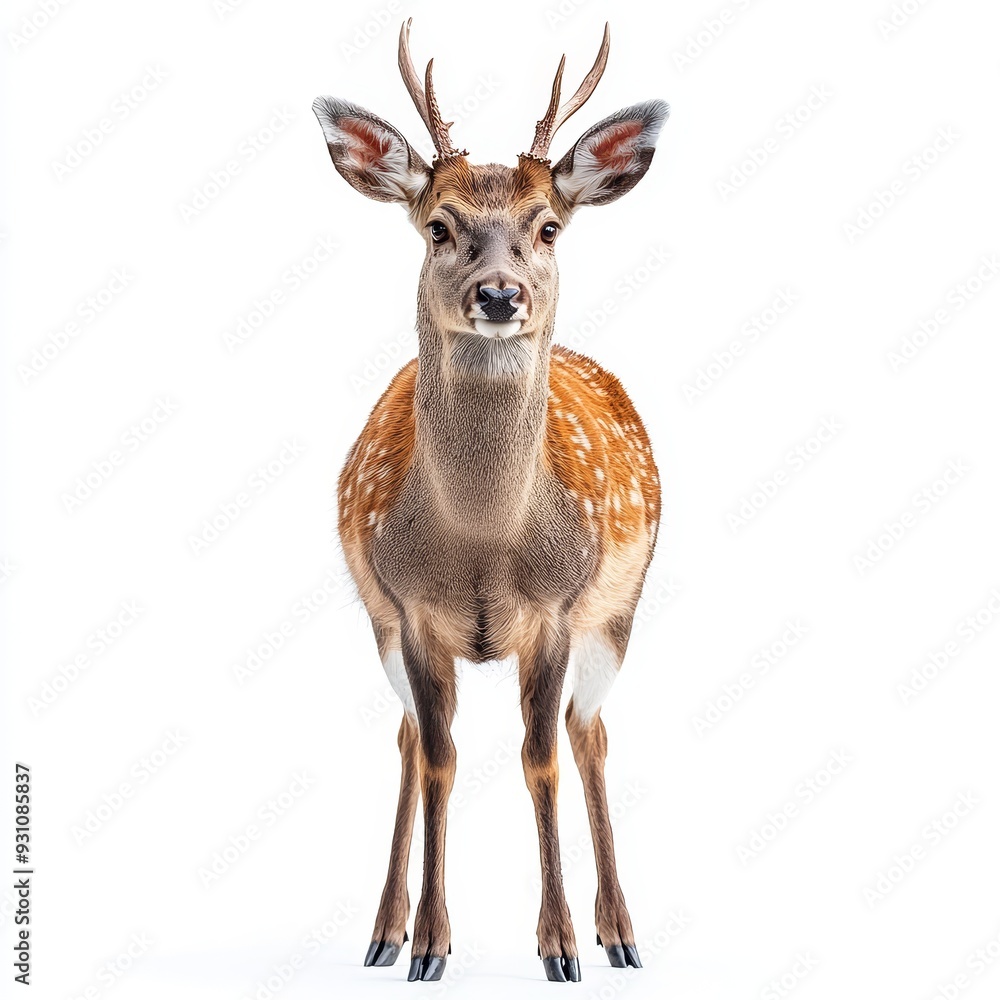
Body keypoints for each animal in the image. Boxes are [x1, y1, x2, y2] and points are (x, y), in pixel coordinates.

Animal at [312, 21, 668, 984]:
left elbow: (539, 758)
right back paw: (382, 932)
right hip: (377, 621)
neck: (480, 540)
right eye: (440, 225)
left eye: (547, 226)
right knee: (408, 740)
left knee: (590, 733)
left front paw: (561, 947)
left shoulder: (557, 608)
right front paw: (430, 945)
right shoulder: (408, 610)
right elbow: (439, 758)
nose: (501, 294)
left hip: (619, 608)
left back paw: (621, 933)